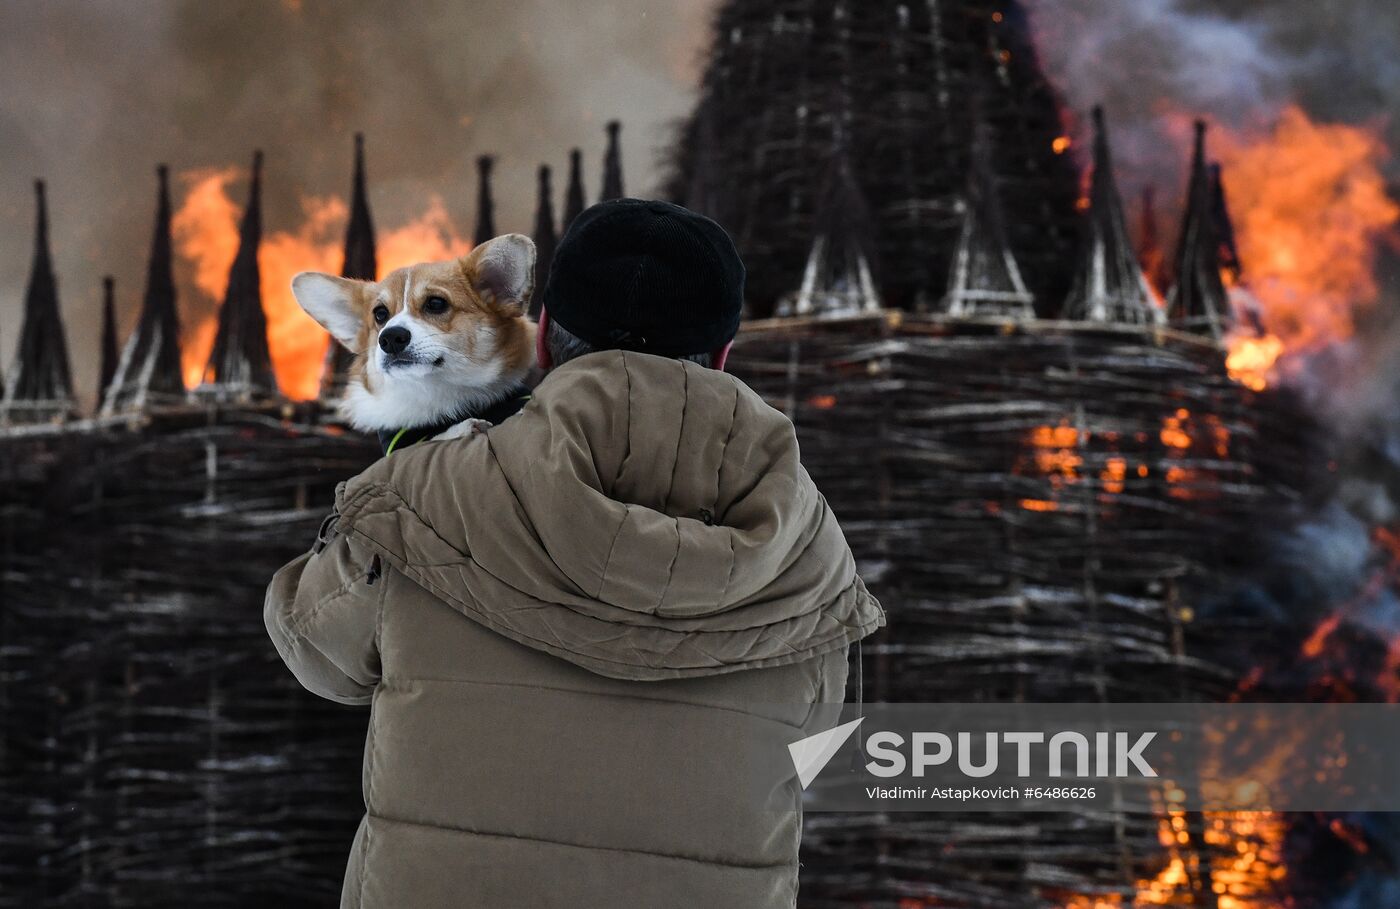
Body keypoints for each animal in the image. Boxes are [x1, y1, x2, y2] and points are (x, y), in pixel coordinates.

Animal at [292, 233, 537, 445]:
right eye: (380, 314)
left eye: (436, 303)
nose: (390, 338)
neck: (437, 393)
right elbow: (429, 441)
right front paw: (462, 429)